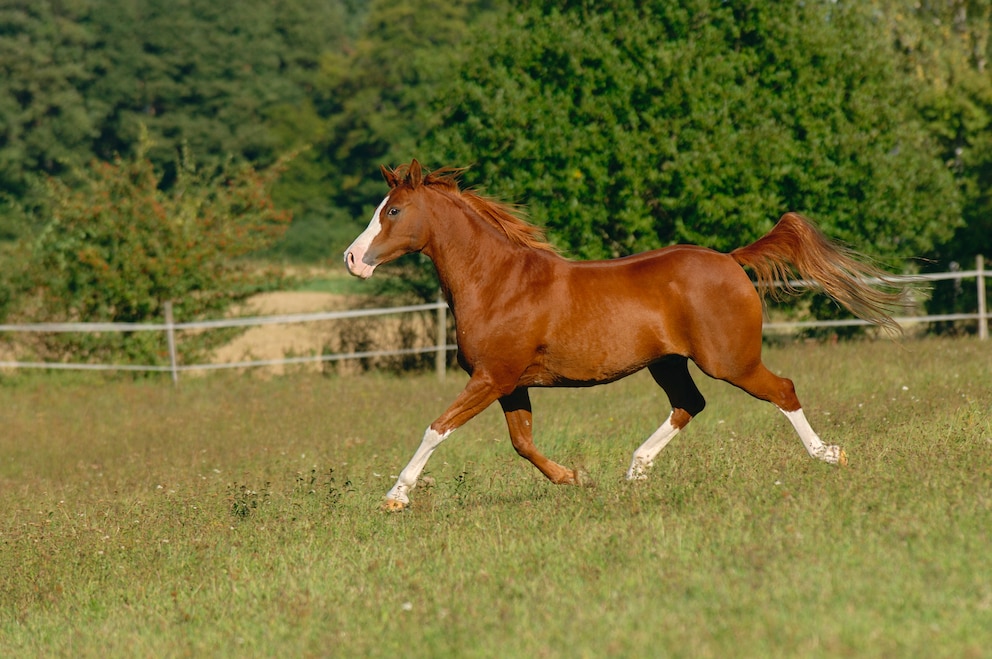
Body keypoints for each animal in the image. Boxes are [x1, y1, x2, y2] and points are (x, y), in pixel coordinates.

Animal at [344, 159, 904, 510]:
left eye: (392, 211)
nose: (352, 259)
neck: (498, 282)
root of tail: (730, 259)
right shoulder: (509, 383)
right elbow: (522, 443)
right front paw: (575, 478)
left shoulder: (491, 378)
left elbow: (436, 428)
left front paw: (395, 497)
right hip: (668, 362)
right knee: (690, 404)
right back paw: (635, 472)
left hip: (731, 361)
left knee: (781, 391)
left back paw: (829, 455)